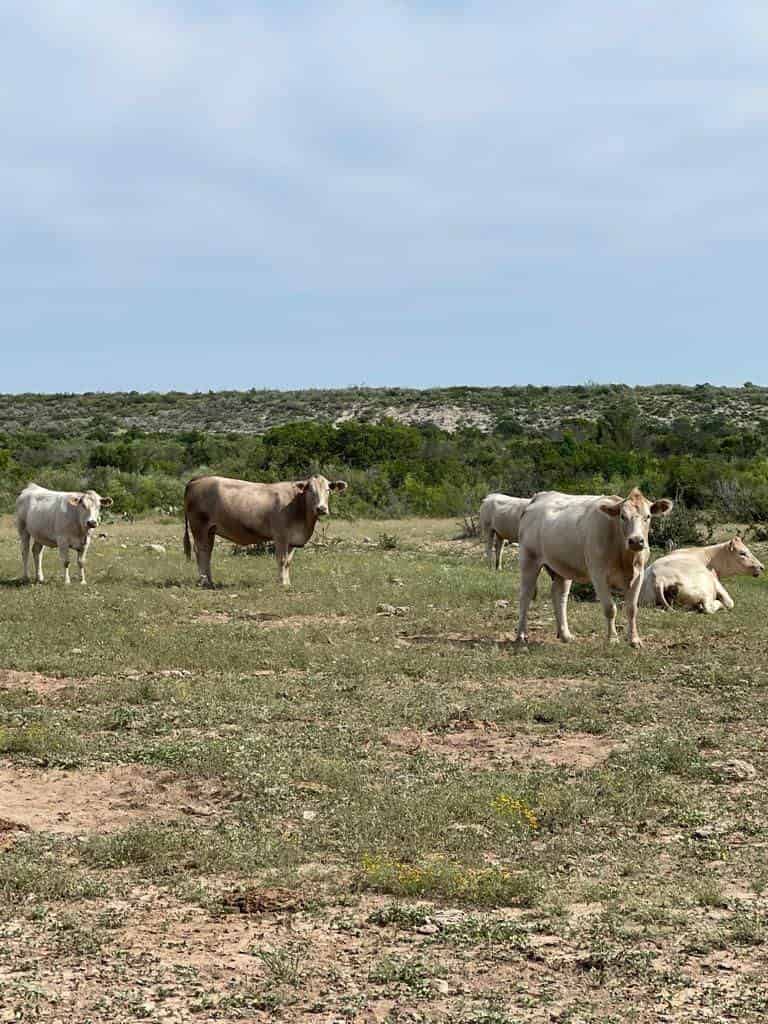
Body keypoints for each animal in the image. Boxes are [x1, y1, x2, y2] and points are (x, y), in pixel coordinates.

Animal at [183, 471, 348, 585]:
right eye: (310, 491)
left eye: (328, 490)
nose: (321, 508)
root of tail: (199, 478)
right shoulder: (281, 535)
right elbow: (282, 559)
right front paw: (282, 583)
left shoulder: (292, 539)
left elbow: (288, 562)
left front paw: (287, 582)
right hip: (199, 526)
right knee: (200, 551)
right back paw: (204, 581)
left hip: (210, 530)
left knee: (207, 552)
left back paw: (210, 580)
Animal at [518, 487, 671, 647]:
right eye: (622, 516)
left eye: (648, 516)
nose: (636, 541)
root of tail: (540, 496)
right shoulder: (598, 574)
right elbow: (610, 608)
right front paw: (612, 638)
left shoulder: (638, 575)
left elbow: (632, 609)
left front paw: (634, 640)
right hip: (529, 558)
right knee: (525, 595)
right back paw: (521, 635)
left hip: (562, 566)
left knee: (559, 596)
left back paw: (565, 635)